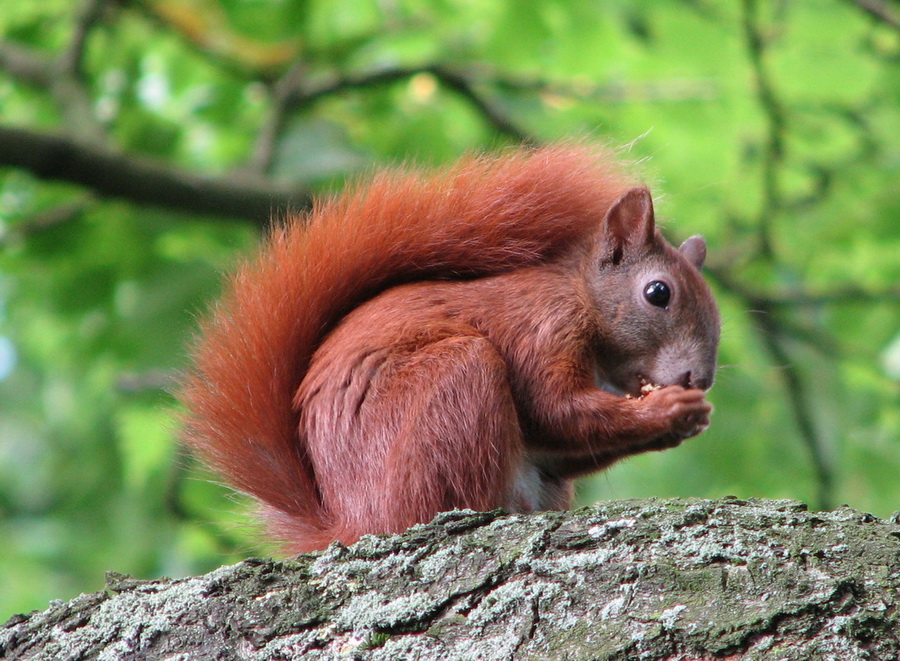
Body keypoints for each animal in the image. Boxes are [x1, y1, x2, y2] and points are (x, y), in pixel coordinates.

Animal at [181, 143, 716, 552]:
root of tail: (353, 522)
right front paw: (666, 410)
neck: (580, 296)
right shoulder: (542, 329)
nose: (700, 378)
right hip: (455, 385)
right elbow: (555, 409)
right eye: (658, 293)